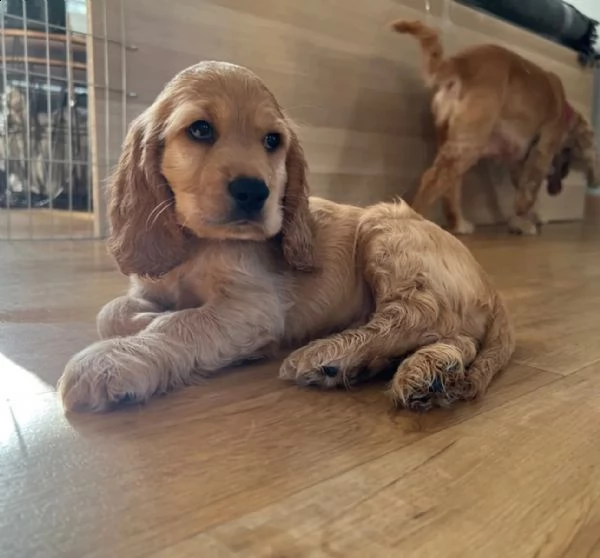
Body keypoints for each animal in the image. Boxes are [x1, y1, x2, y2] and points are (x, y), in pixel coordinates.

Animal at [57, 61, 516, 414]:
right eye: (200, 130)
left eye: (272, 140)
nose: (253, 191)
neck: (200, 243)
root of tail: (491, 286)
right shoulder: (151, 280)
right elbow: (112, 311)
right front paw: (142, 319)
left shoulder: (252, 307)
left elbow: (181, 324)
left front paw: (112, 359)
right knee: (453, 333)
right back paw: (426, 372)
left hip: (386, 230)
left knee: (414, 314)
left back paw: (331, 355)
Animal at [390, 20, 600, 236]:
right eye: (568, 156)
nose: (562, 180)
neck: (564, 110)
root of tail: (462, 62)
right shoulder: (542, 151)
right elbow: (529, 192)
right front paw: (523, 222)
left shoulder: (519, 161)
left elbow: (523, 189)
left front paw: (526, 219)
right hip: (471, 142)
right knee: (432, 179)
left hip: (451, 140)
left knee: (450, 187)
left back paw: (459, 224)